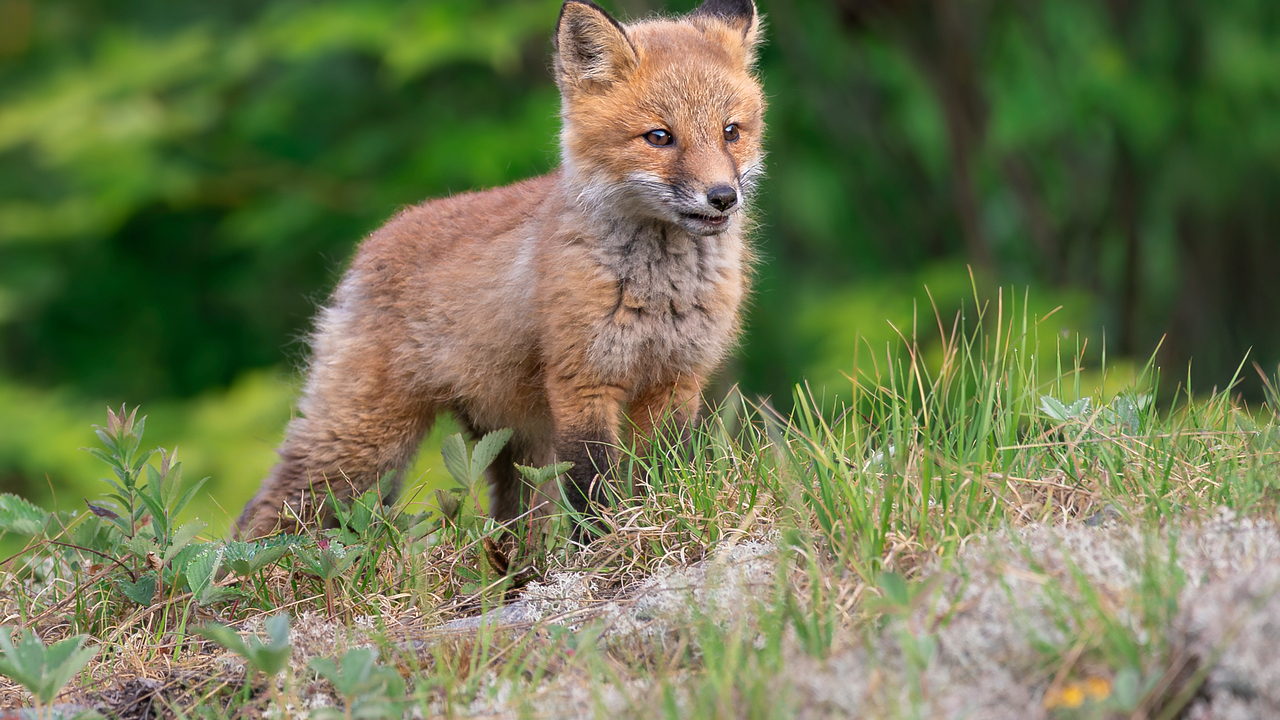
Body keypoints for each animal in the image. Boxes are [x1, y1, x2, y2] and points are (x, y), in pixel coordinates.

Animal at [234, 0, 766, 540]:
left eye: (731, 132)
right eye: (660, 137)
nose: (723, 197)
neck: (657, 292)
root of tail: (374, 240)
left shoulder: (677, 380)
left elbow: (664, 471)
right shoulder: (583, 383)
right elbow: (592, 490)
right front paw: (605, 545)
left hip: (516, 444)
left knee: (514, 523)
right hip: (365, 441)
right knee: (272, 509)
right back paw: (247, 562)